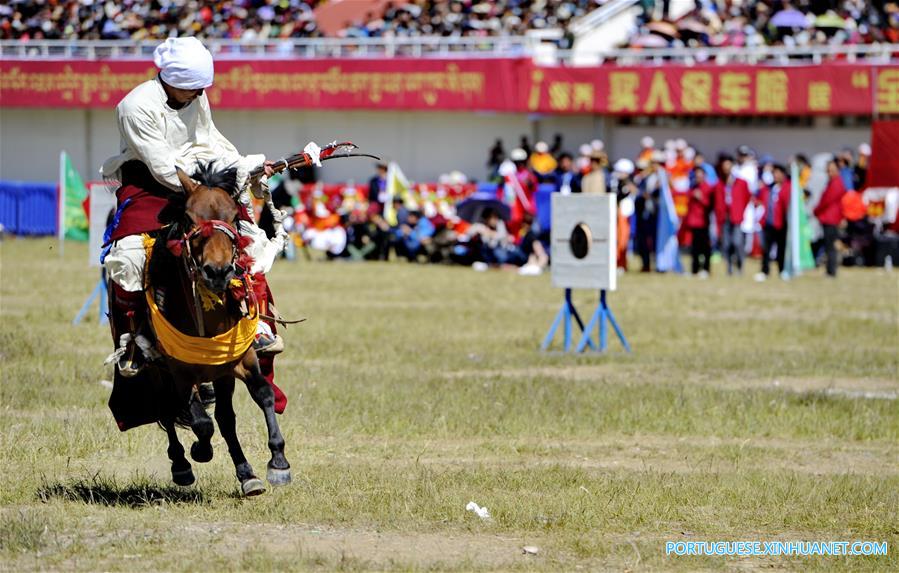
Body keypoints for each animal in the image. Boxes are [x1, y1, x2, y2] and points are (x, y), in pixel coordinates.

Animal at [146, 163, 290, 494]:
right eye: (189, 218)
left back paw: (247, 474)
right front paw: (200, 451)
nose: (218, 271)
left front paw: (277, 460)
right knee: (168, 411)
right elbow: (200, 421)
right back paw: (181, 464)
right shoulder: (179, 374)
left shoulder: (240, 361)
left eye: (234, 217)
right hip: (158, 372)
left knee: (225, 418)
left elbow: (263, 394)